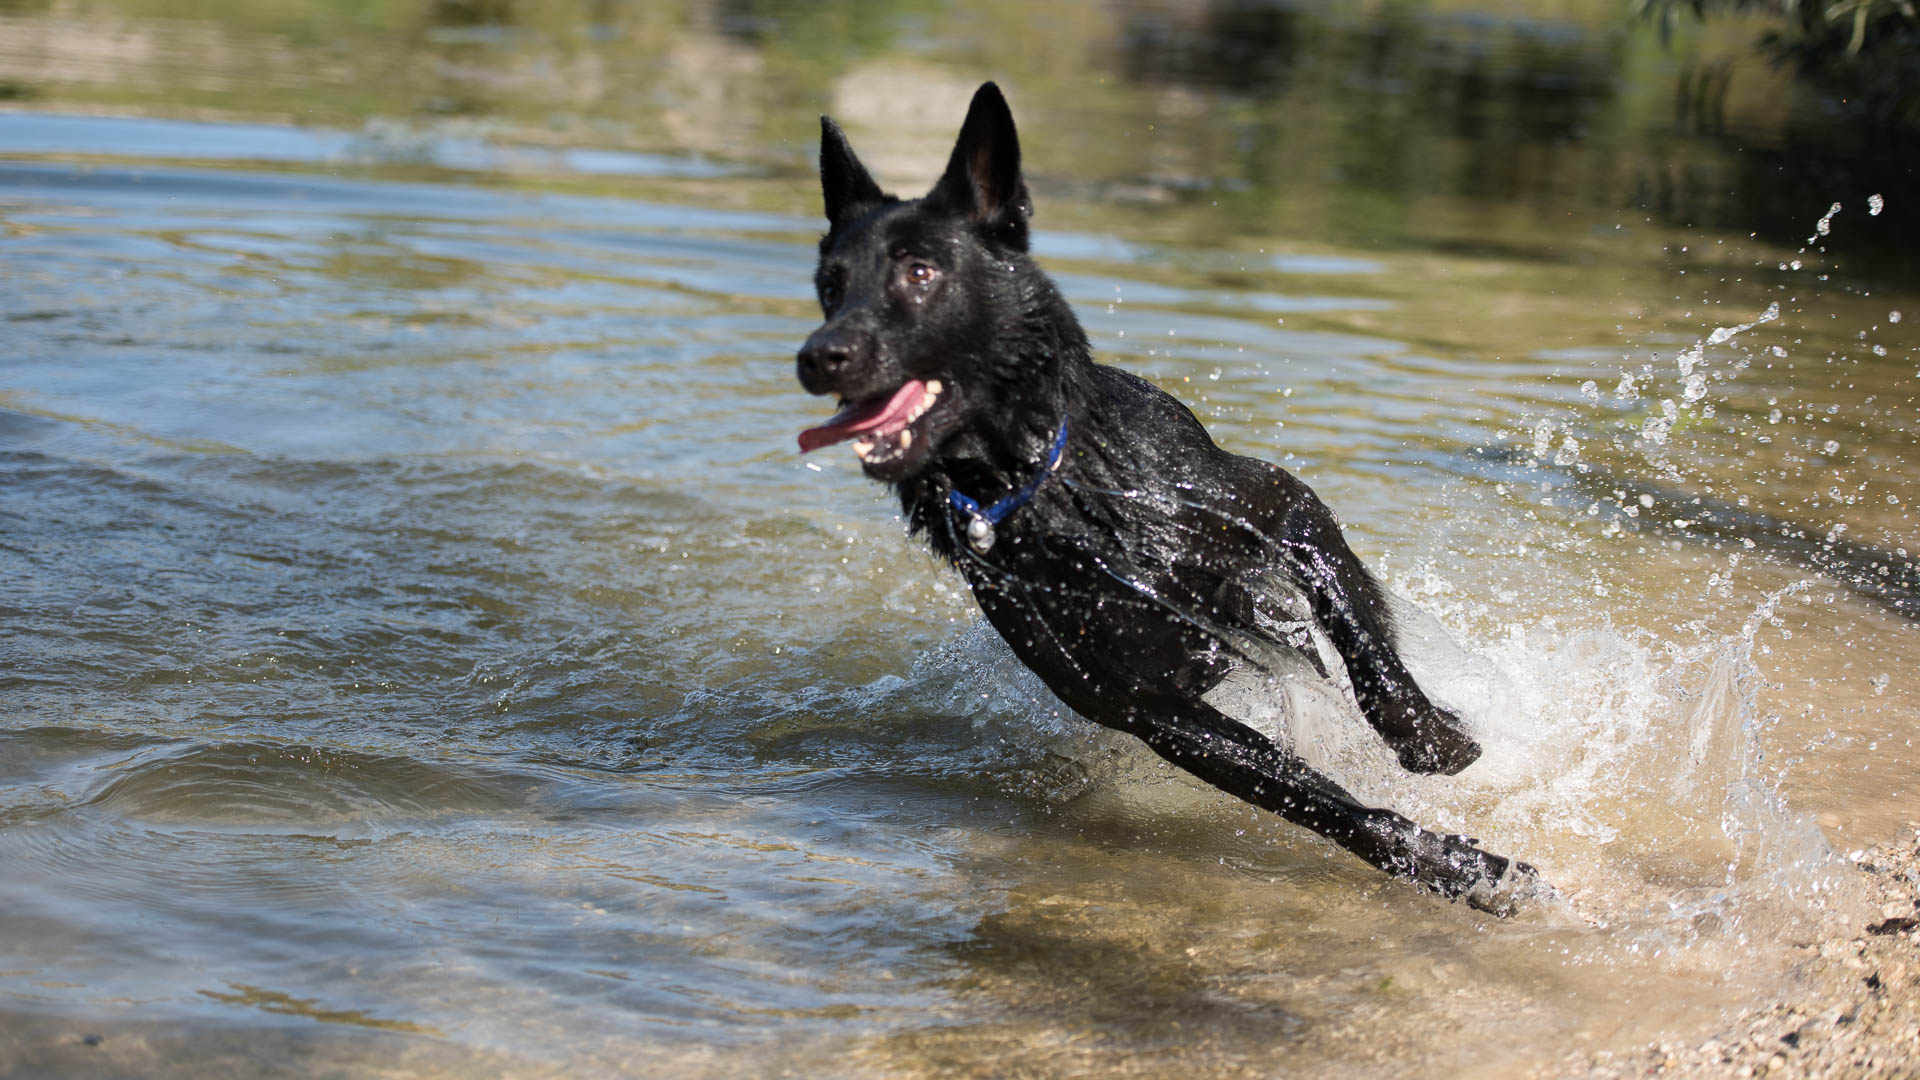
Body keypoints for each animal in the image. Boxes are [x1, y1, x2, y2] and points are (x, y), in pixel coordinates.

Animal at [794, 82, 1543, 907]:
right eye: (830, 285)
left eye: (920, 273)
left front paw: (1436, 742)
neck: (1049, 494)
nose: (819, 356)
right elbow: (1322, 802)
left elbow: (1372, 666)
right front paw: (1456, 867)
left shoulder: (1288, 510)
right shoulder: (1155, 711)